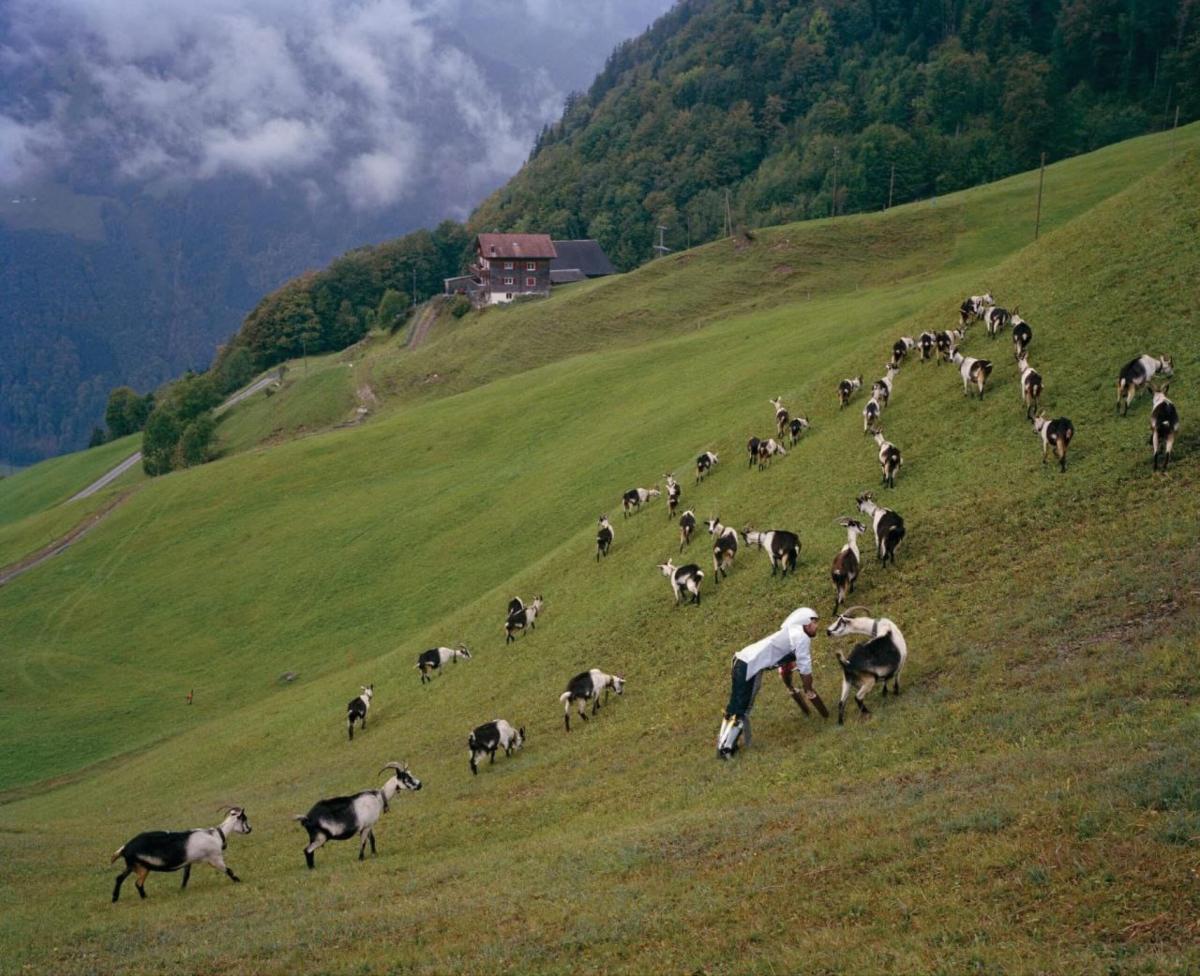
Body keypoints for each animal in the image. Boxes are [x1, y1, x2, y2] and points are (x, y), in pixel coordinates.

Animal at [112, 801, 253, 902]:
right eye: (244, 819)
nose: (250, 829)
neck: (216, 835)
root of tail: (125, 848)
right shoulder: (214, 858)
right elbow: (229, 870)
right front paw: (239, 881)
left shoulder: (188, 862)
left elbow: (186, 876)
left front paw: (182, 890)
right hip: (142, 868)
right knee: (138, 883)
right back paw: (144, 898)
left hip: (133, 865)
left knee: (119, 878)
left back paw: (115, 899)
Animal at [291, 763, 420, 869]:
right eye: (406, 778)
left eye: (410, 774)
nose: (420, 785)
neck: (379, 797)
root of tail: (306, 818)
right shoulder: (366, 826)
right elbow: (363, 842)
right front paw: (361, 858)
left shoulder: (369, 825)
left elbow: (372, 839)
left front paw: (374, 854)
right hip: (321, 837)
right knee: (307, 850)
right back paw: (312, 868)